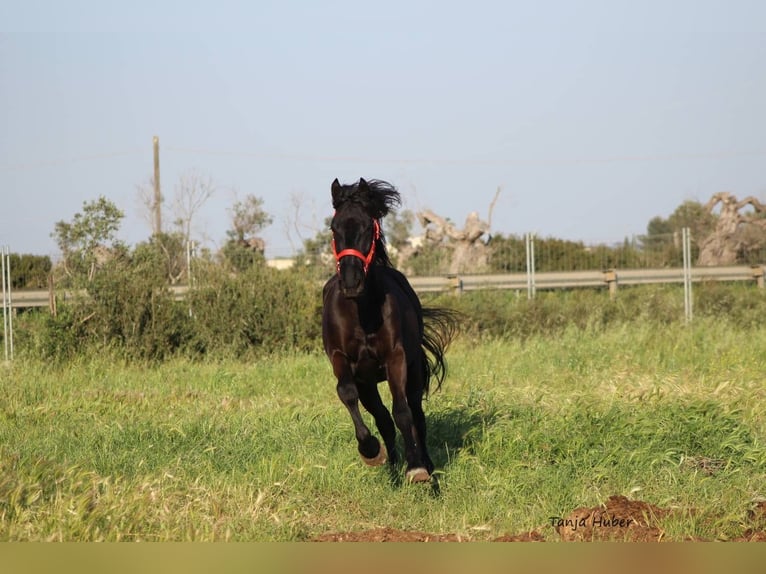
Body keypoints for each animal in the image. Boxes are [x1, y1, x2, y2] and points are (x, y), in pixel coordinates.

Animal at [322, 178, 460, 484]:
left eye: (366, 226)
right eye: (334, 227)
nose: (351, 282)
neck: (362, 313)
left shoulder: (396, 359)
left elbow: (403, 412)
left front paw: (416, 467)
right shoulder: (342, 361)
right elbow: (348, 394)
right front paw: (371, 451)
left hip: (414, 371)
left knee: (416, 414)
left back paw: (425, 465)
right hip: (369, 382)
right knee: (382, 417)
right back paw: (393, 467)